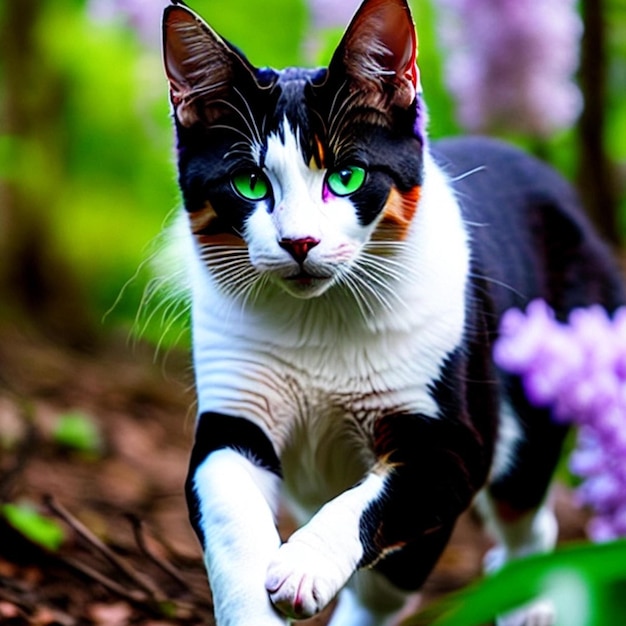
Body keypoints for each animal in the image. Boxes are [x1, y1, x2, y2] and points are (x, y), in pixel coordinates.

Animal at [160, 1, 624, 624]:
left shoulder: (454, 444)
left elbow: (378, 515)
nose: (299, 242)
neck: (318, 325)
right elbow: (233, 523)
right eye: (250, 183)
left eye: (346, 176)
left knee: (522, 515)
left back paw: (527, 601)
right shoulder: (231, 420)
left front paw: (306, 565)